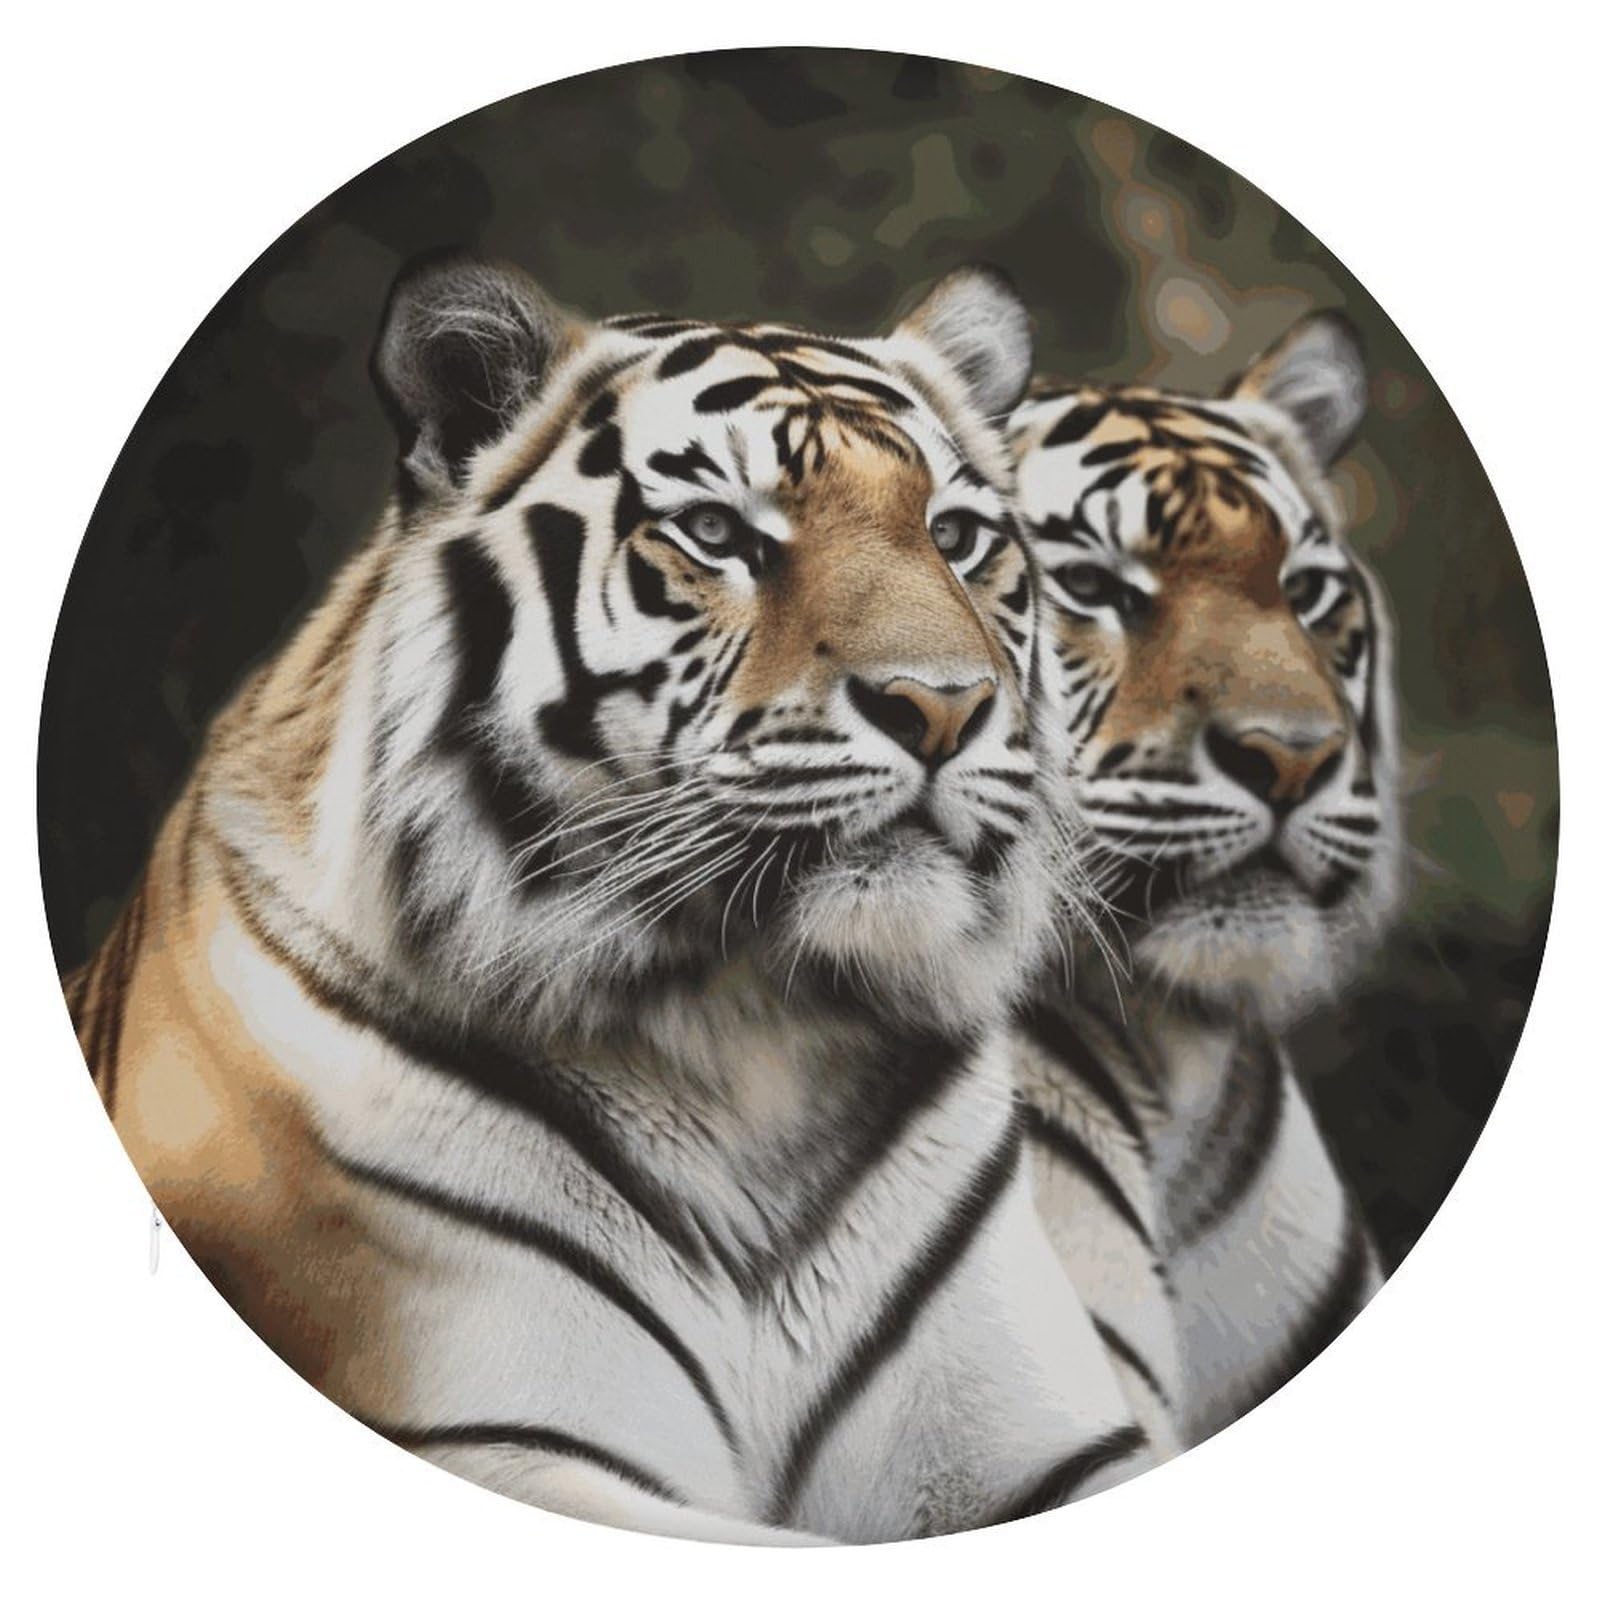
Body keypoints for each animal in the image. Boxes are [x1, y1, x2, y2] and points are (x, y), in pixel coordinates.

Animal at [63, 255, 1161, 1543]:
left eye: (955, 534)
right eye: (716, 532)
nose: (942, 707)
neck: (754, 1035)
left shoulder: (1055, 1441)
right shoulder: (510, 1440)